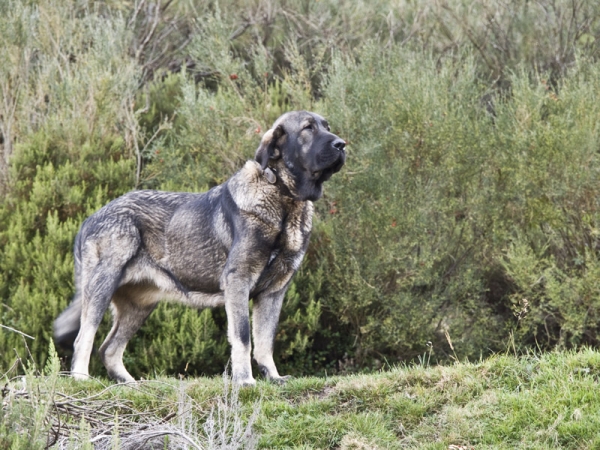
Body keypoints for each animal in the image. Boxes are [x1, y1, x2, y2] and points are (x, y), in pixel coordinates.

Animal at [56, 110, 346, 384]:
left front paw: (273, 378)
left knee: (109, 348)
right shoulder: (238, 281)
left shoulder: (274, 292)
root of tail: (91, 218)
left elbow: (265, 341)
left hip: (138, 305)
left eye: (327, 126)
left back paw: (130, 384)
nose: (342, 144)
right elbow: (243, 337)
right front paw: (245, 380)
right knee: (85, 338)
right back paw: (82, 379)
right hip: (102, 287)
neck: (284, 199)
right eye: (308, 128)